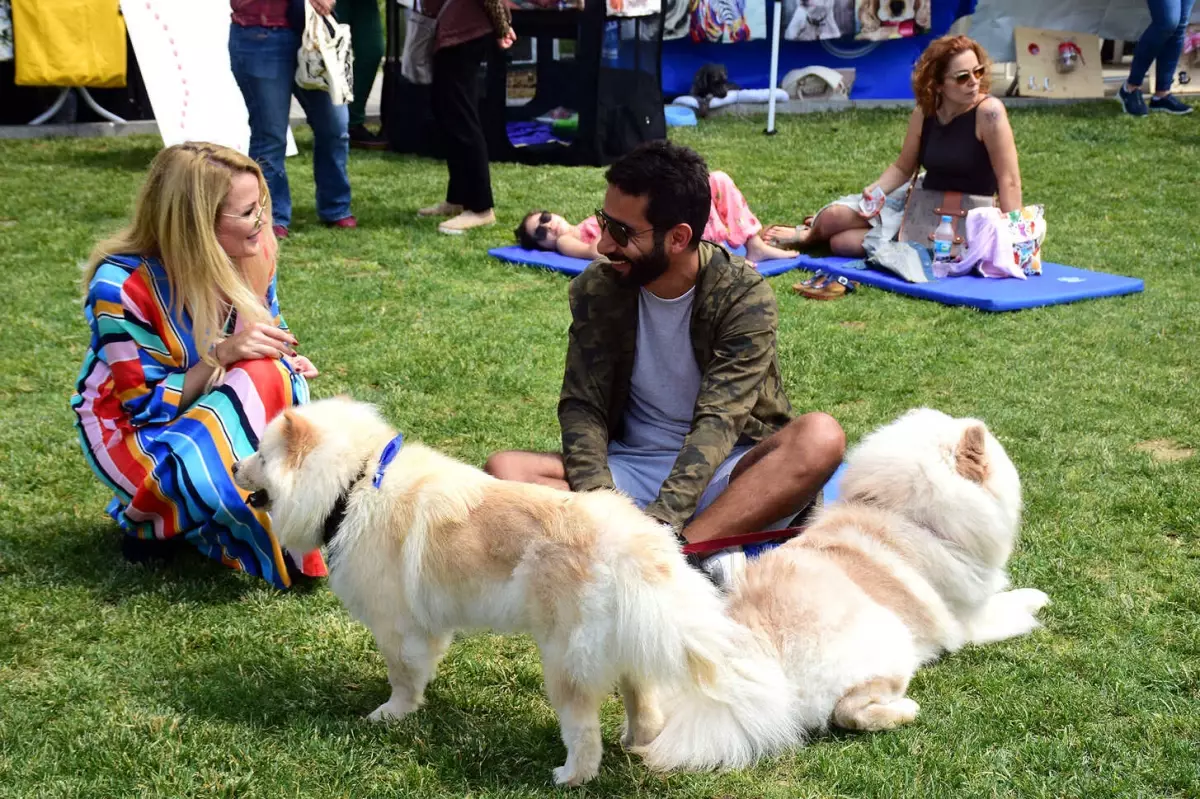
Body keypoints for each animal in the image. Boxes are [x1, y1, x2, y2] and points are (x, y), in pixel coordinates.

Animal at [234, 395, 796, 782]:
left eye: (259, 453)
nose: (237, 466)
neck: (350, 486)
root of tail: (636, 546)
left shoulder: (397, 625)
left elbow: (403, 677)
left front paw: (391, 714)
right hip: (624, 646)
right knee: (644, 704)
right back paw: (635, 743)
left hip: (563, 661)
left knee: (583, 732)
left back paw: (571, 776)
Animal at [638, 407, 1051, 767]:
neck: (907, 515)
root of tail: (757, 651)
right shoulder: (970, 619)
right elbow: (1009, 603)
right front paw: (1037, 600)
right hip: (890, 639)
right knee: (849, 711)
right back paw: (905, 710)